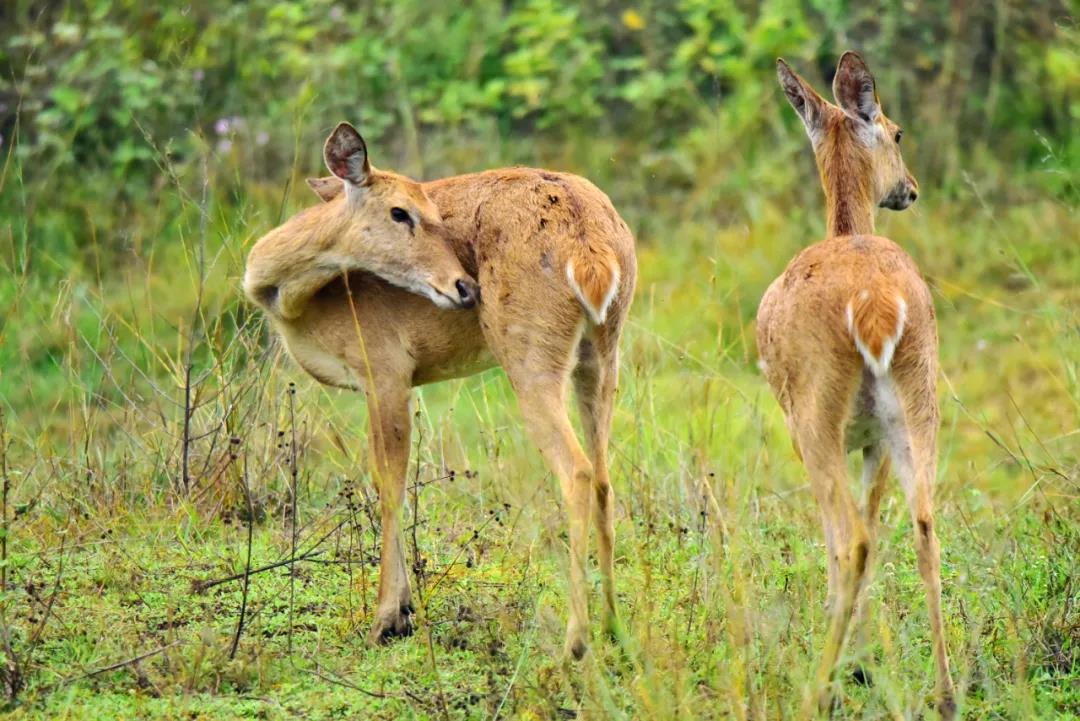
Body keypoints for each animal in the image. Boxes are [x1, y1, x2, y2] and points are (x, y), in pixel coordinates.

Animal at [243, 120, 630, 656]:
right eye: (400, 210)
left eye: (429, 210)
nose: (464, 287)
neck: (292, 299)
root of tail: (590, 237)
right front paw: (404, 608)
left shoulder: (385, 372)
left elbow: (388, 484)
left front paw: (387, 619)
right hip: (600, 358)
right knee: (604, 479)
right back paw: (613, 626)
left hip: (531, 361)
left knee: (576, 472)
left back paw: (575, 641)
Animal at [760, 53, 954, 716]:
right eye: (899, 132)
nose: (911, 188)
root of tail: (875, 306)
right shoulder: (872, 443)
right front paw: (865, 656)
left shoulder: (808, 434)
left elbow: (836, 538)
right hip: (916, 410)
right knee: (923, 526)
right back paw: (944, 694)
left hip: (818, 419)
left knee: (854, 541)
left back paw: (819, 687)